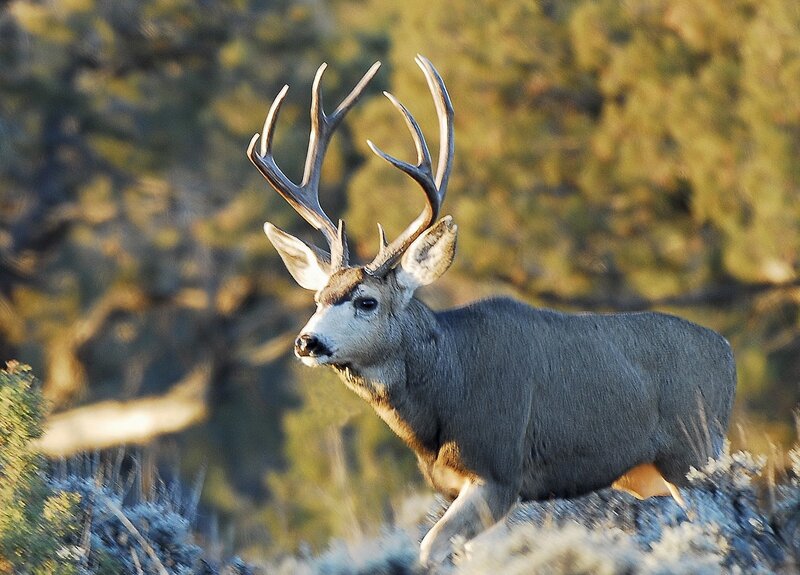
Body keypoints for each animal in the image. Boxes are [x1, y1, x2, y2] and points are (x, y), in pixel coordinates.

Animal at [247, 56, 737, 566]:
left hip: (692, 452)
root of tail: (726, 350)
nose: (307, 341)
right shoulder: (450, 484)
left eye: (367, 300)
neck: (447, 389)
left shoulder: (501, 469)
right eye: (318, 298)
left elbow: (429, 549)